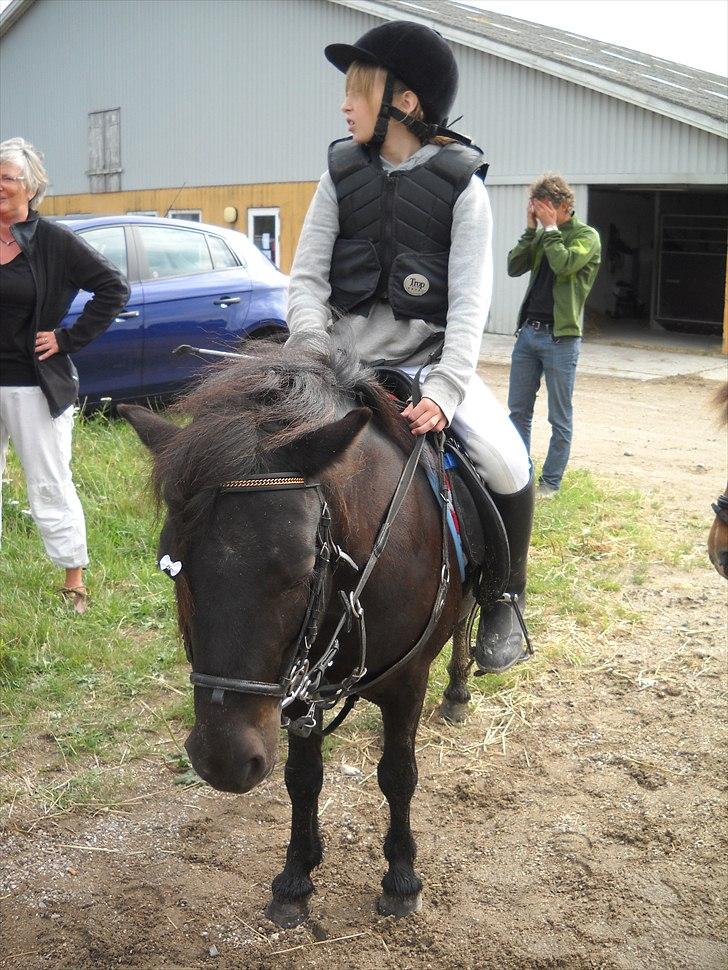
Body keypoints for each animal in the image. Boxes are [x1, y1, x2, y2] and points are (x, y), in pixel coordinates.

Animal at [121, 338, 472, 924]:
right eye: (172, 567)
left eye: (306, 569)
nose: (223, 760)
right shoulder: (298, 689)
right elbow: (302, 779)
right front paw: (295, 878)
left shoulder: (407, 684)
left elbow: (398, 773)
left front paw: (401, 878)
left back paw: (461, 690)